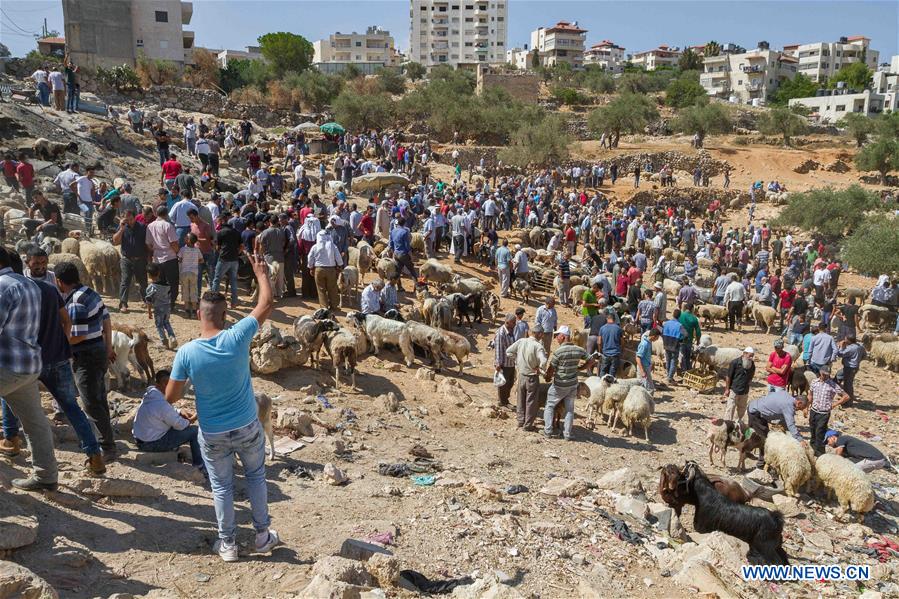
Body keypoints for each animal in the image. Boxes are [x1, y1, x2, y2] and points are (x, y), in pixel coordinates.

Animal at [660, 462, 788, 564]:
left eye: (683, 475)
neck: (705, 495)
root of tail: (776, 518)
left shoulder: (702, 529)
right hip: (775, 546)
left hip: (766, 548)